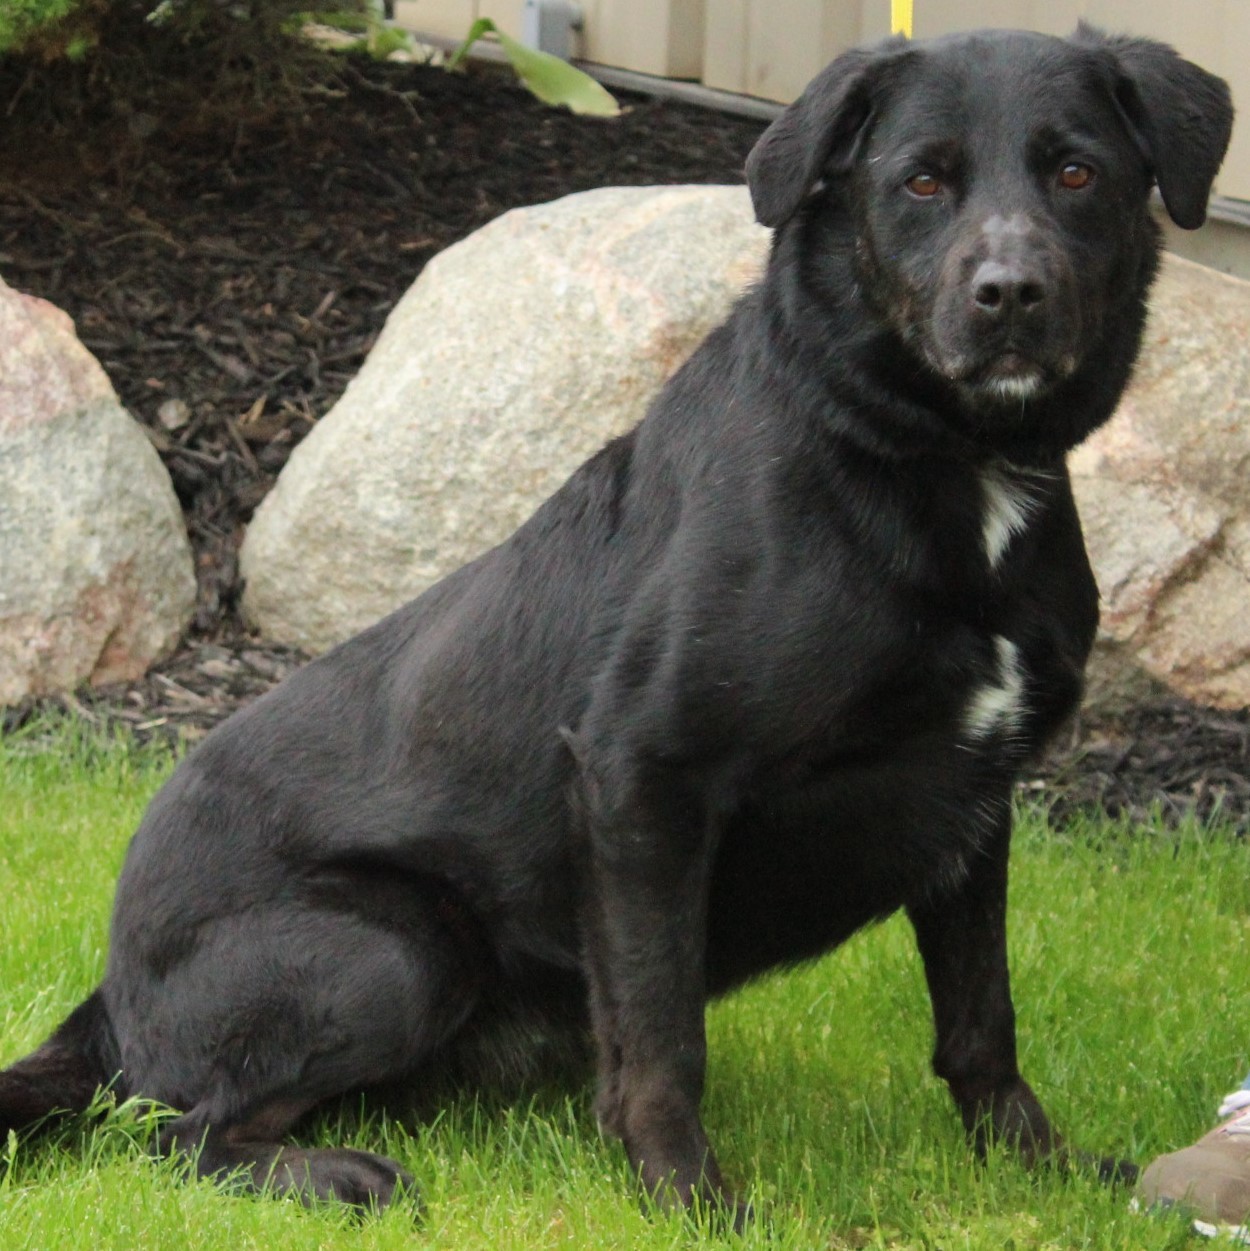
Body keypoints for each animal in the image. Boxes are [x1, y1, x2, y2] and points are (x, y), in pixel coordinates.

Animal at [0, 22, 1231, 1220]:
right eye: (920, 182)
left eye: (1075, 171)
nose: (1009, 293)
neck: (934, 464)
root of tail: (112, 999)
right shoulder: (644, 778)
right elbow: (659, 1032)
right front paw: (687, 1198)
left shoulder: (972, 799)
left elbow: (982, 1019)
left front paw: (1040, 1173)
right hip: (397, 948)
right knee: (170, 1133)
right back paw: (332, 1176)